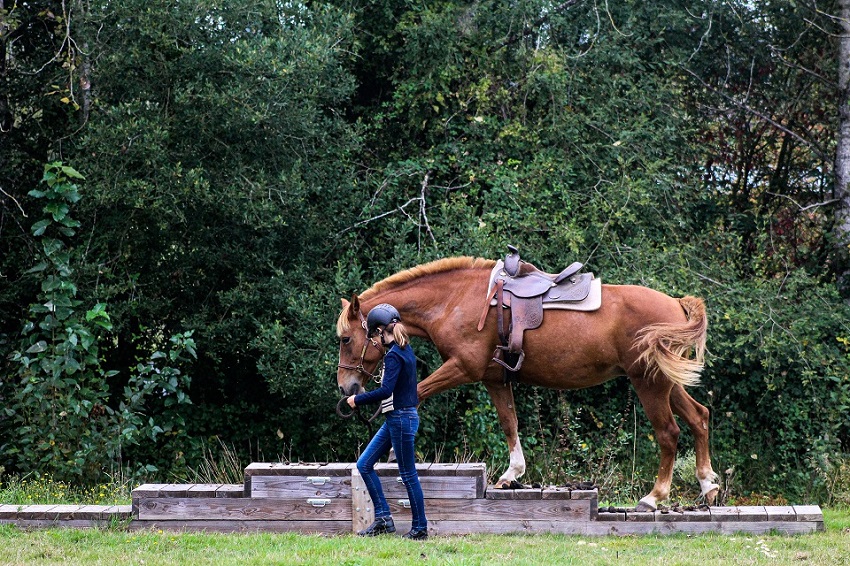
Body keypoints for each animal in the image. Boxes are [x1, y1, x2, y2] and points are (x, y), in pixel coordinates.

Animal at [334, 255, 720, 512]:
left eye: (345, 339)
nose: (346, 388)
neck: (455, 301)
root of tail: (677, 304)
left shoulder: (462, 368)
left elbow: (412, 395)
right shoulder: (494, 379)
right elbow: (510, 422)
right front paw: (512, 474)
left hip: (650, 382)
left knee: (669, 433)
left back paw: (654, 497)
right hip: (666, 382)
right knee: (699, 417)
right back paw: (707, 485)